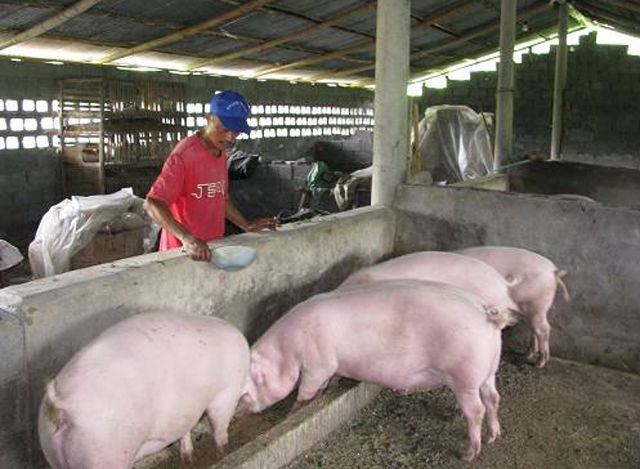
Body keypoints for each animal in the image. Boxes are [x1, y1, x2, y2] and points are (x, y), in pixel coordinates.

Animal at [38, 310, 250, 468]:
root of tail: (64, 403)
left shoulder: (187, 409)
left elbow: (185, 431)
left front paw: (188, 459)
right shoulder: (226, 394)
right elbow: (220, 430)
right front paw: (224, 454)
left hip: (51, 448)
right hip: (104, 451)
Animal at [238, 280, 516, 458]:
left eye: (245, 392)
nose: (238, 412)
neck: (289, 348)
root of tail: (487, 315)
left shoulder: (319, 364)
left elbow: (306, 392)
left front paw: (291, 413)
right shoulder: (329, 367)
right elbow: (327, 384)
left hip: (464, 377)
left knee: (477, 410)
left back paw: (470, 453)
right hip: (488, 371)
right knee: (494, 398)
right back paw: (495, 436)